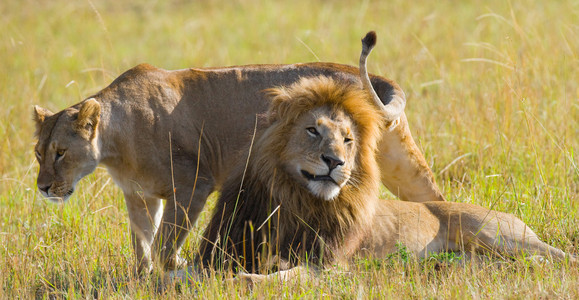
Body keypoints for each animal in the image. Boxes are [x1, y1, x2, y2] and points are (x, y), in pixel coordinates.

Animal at [32, 31, 444, 274]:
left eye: (61, 152)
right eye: (39, 153)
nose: (43, 188)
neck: (116, 145)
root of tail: (375, 80)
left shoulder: (192, 185)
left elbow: (166, 241)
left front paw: (176, 267)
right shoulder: (139, 197)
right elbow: (142, 245)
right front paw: (143, 278)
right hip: (402, 166)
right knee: (433, 199)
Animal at [198, 31, 576, 280]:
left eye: (348, 140)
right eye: (312, 131)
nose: (335, 163)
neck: (295, 199)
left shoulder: (330, 266)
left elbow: (281, 277)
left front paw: (242, 281)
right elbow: (195, 271)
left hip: (499, 235)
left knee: (564, 257)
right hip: (475, 254)